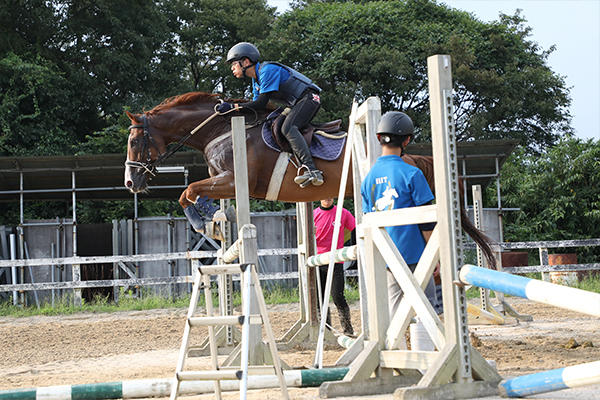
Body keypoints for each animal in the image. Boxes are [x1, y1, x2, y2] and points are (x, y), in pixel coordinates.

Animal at [123, 90, 496, 266]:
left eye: (134, 142)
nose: (130, 183)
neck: (219, 129)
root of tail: (409, 155)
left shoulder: (234, 180)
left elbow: (187, 191)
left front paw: (204, 224)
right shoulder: (222, 180)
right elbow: (194, 194)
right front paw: (215, 221)